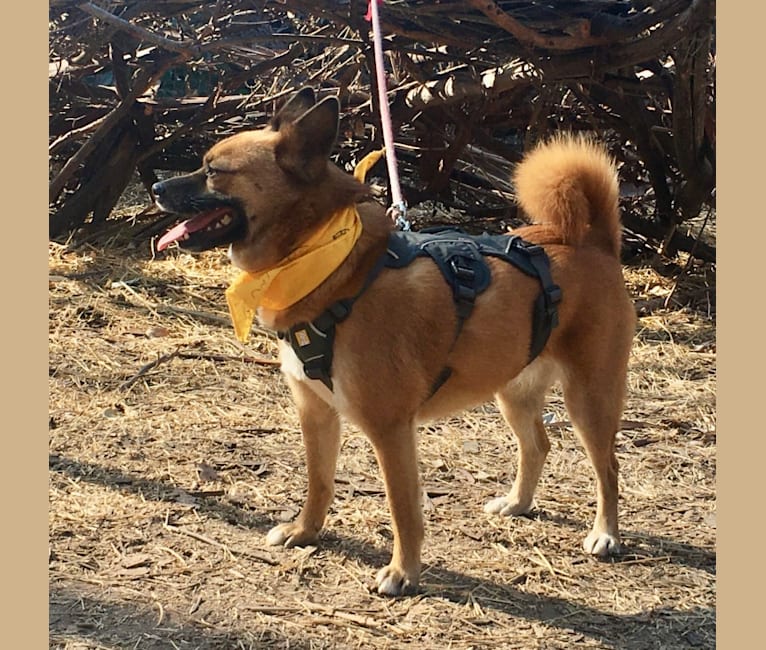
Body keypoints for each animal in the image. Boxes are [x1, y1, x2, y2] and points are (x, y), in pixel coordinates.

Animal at [153, 88, 640, 596]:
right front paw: (306, 531)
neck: (331, 267)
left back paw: (605, 534)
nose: (156, 188)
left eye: (213, 170)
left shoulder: (390, 429)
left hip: (589, 398)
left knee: (608, 467)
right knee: (538, 446)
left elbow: (402, 508)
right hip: (513, 391)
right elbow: (319, 482)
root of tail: (593, 240)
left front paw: (403, 572)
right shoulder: (316, 413)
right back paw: (517, 503)